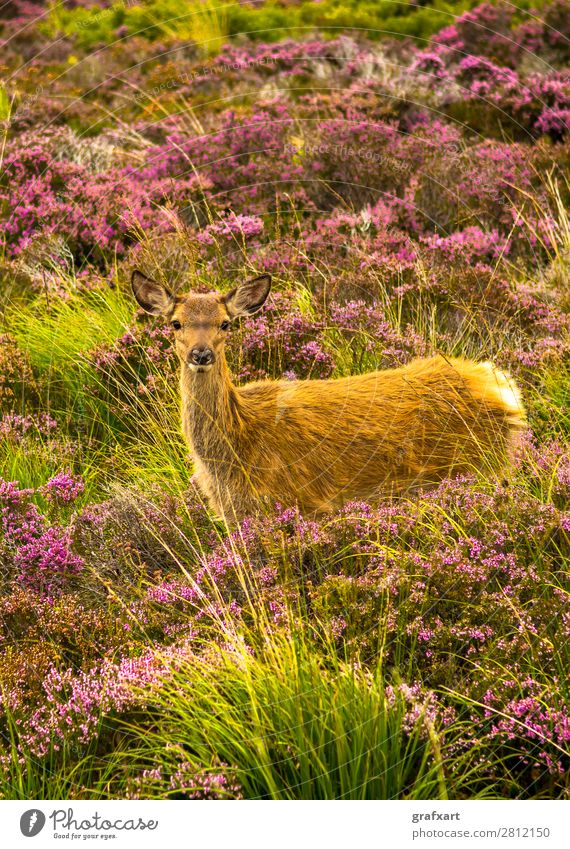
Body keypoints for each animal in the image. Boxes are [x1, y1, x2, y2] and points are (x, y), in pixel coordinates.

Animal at [132, 272, 524, 524]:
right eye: (176, 323)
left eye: (226, 323)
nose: (201, 355)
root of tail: (502, 387)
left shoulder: (303, 503)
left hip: (480, 465)